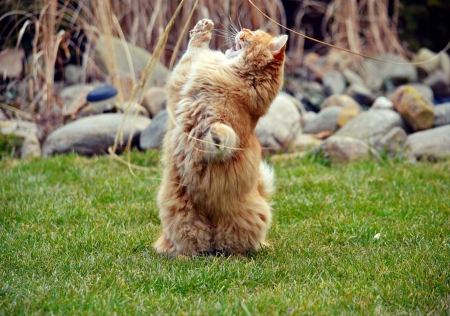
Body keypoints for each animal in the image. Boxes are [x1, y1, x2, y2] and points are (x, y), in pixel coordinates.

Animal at [155, 18, 288, 256]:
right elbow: (193, 51)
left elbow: (221, 134)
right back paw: (188, 256)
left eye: (254, 34)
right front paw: (202, 28)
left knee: (233, 244)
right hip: (183, 216)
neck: (234, 75)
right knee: (194, 244)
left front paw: (217, 131)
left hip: (241, 219)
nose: (243, 29)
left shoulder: (218, 140)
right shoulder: (181, 80)